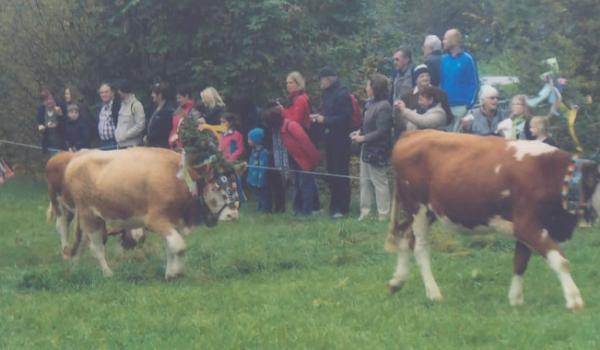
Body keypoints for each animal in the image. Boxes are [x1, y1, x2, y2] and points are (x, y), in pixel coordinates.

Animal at [56, 147, 241, 278]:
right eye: (215, 186)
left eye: (234, 185)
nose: (233, 215)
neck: (177, 179)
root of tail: (78, 156)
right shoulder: (155, 220)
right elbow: (179, 245)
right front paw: (176, 272)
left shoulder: (173, 222)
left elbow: (171, 247)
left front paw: (171, 272)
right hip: (89, 215)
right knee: (96, 248)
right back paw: (108, 273)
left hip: (92, 218)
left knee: (80, 244)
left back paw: (74, 270)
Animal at [384, 130, 600, 310]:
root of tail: (412, 133)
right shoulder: (526, 225)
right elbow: (559, 260)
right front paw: (574, 299)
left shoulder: (527, 228)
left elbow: (520, 262)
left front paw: (515, 299)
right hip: (417, 207)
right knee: (420, 247)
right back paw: (433, 293)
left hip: (428, 211)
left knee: (404, 236)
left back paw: (396, 282)